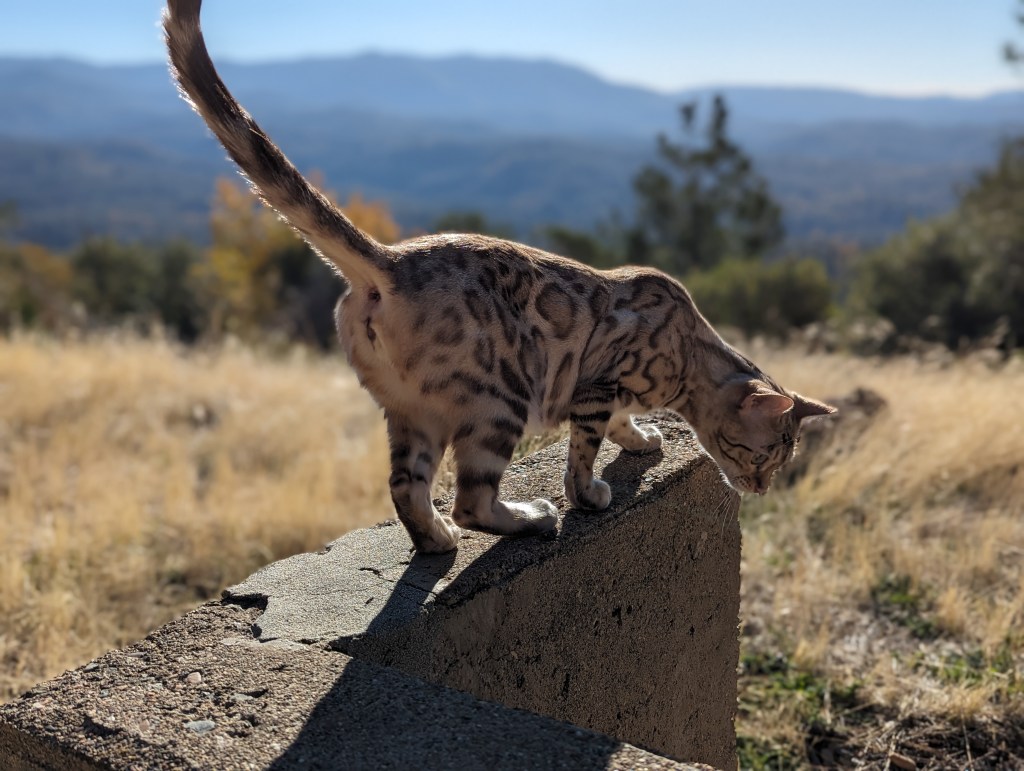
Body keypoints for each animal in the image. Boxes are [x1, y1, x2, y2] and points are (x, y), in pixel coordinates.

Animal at [163, 0, 836, 553]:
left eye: (780, 462)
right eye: (762, 455)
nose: (762, 489)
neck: (688, 358)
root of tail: (390, 259)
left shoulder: (602, 391)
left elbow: (621, 424)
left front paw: (642, 437)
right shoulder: (595, 382)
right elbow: (585, 451)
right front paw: (591, 493)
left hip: (412, 411)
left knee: (406, 488)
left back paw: (439, 539)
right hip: (499, 399)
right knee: (473, 497)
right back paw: (531, 517)